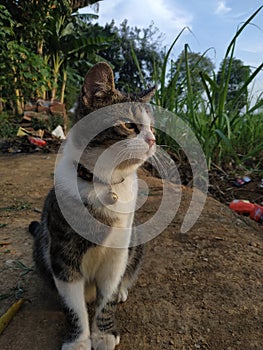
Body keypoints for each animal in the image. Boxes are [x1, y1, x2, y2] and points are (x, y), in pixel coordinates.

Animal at [29, 63, 157, 350]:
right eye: (130, 125)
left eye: (152, 127)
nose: (153, 140)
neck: (103, 183)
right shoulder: (62, 254)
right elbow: (73, 307)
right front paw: (78, 340)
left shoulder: (118, 253)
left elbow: (107, 299)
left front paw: (104, 333)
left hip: (136, 239)